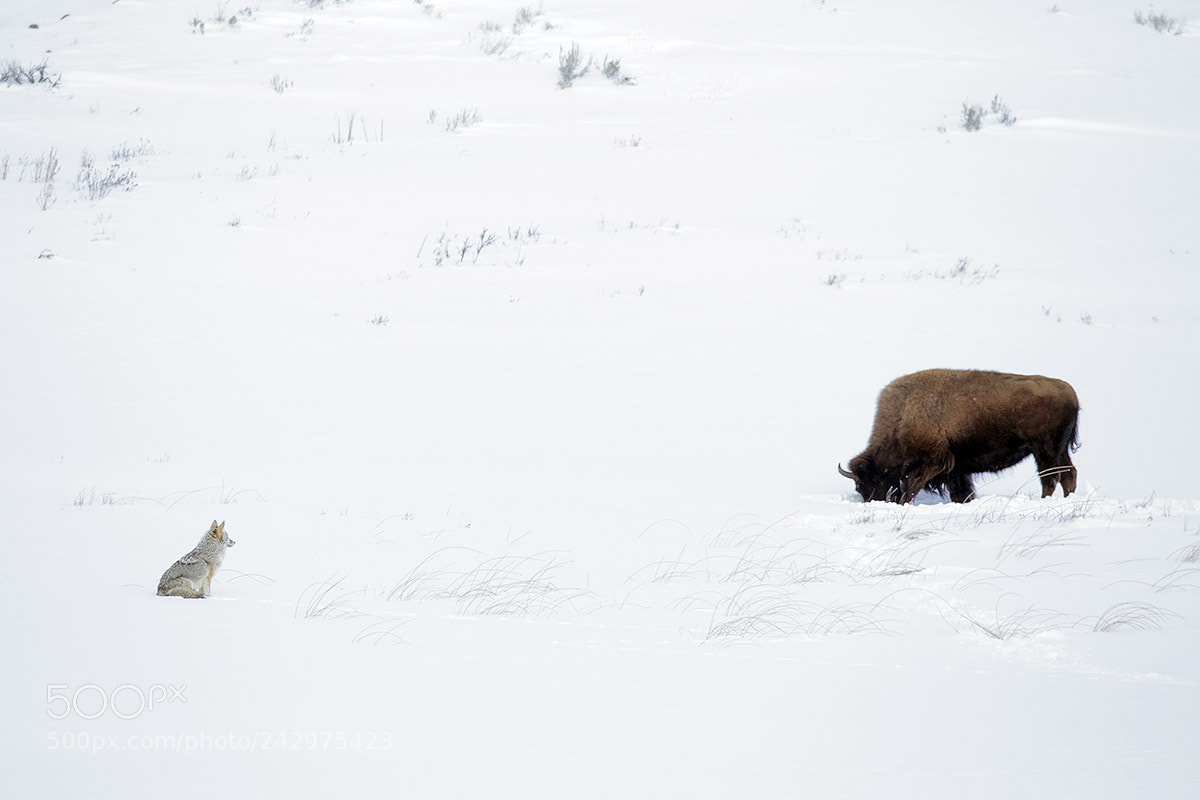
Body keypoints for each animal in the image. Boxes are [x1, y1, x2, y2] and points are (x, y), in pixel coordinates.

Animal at [839, 369, 1079, 504]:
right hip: (1059, 449)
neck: (903, 417)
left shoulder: (934, 462)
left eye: (864, 484)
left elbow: (911, 485)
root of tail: (1071, 393)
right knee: (1068, 474)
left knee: (1051, 478)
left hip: (1045, 450)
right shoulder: (956, 469)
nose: (874, 502)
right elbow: (961, 493)